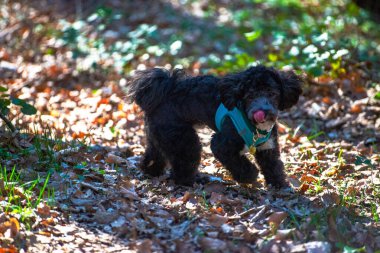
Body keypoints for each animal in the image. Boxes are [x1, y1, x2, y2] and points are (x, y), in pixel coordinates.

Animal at [128, 65, 302, 188]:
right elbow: (238, 163)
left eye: (272, 94)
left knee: (155, 156)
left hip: (162, 135)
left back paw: (151, 172)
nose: (262, 112)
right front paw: (250, 176)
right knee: (184, 163)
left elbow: (273, 166)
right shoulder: (222, 144)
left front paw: (280, 185)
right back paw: (191, 182)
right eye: (250, 95)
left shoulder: (267, 147)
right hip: (183, 139)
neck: (256, 128)